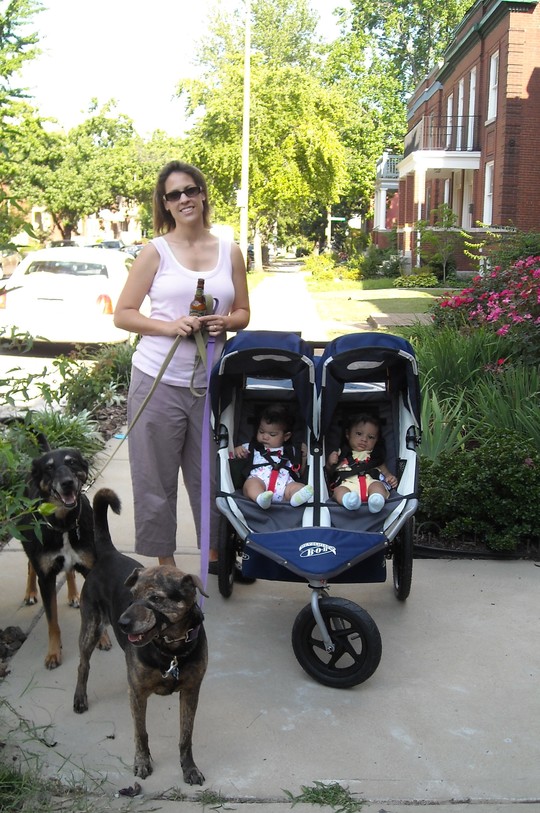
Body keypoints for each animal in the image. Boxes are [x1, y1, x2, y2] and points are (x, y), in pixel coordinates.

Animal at [19, 444, 98, 669]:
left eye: (72, 462)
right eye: (49, 468)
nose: (67, 483)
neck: (64, 524)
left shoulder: (91, 567)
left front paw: (103, 639)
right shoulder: (46, 579)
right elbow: (52, 622)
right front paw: (54, 653)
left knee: (69, 571)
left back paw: (73, 595)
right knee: (30, 566)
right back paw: (30, 592)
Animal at [73, 488, 208, 785]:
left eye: (156, 599)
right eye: (132, 596)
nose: (122, 623)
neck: (171, 648)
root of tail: (109, 554)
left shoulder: (191, 691)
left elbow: (186, 735)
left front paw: (189, 768)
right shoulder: (136, 694)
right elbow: (141, 732)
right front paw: (143, 762)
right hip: (91, 626)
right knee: (83, 664)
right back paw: (80, 698)